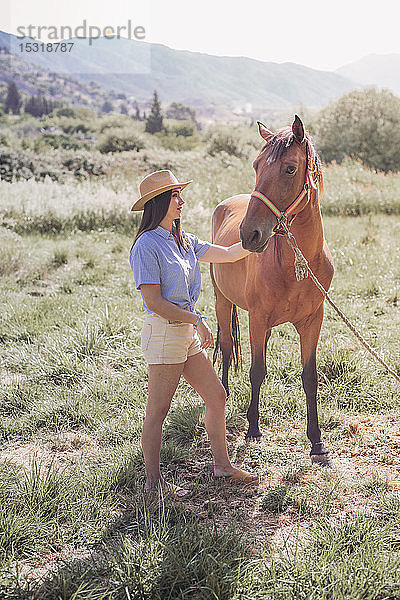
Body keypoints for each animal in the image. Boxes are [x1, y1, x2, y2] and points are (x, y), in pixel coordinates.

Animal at [212, 116, 334, 464]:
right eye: (256, 166)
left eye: (290, 169)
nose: (249, 234)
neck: (295, 265)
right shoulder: (257, 318)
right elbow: (256, 370)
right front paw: (253, 429)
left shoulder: (312, 321)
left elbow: (309, 377)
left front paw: (316, 441)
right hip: (223, 302)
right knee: (226, 346)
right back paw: (223, 393)